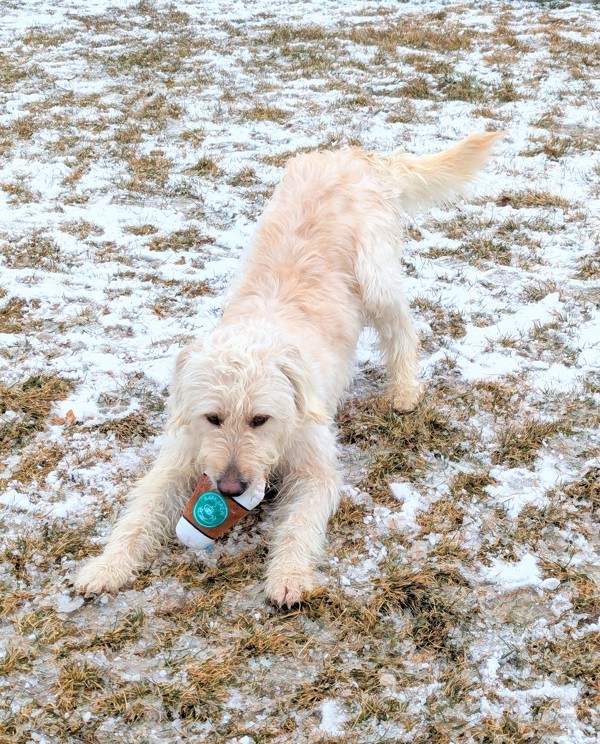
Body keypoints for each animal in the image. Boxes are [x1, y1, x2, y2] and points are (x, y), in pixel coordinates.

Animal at [76, 132, 506, 604]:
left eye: (260, 419)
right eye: (213, 418)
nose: (230, 489)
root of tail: (354, 153)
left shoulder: (315, 469)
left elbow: (300, 524)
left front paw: (289, 575)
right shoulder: (181, 456)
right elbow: (141, 512)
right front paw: (106, 567)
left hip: (376, 277)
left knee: (402, 332)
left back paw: (405, 390)